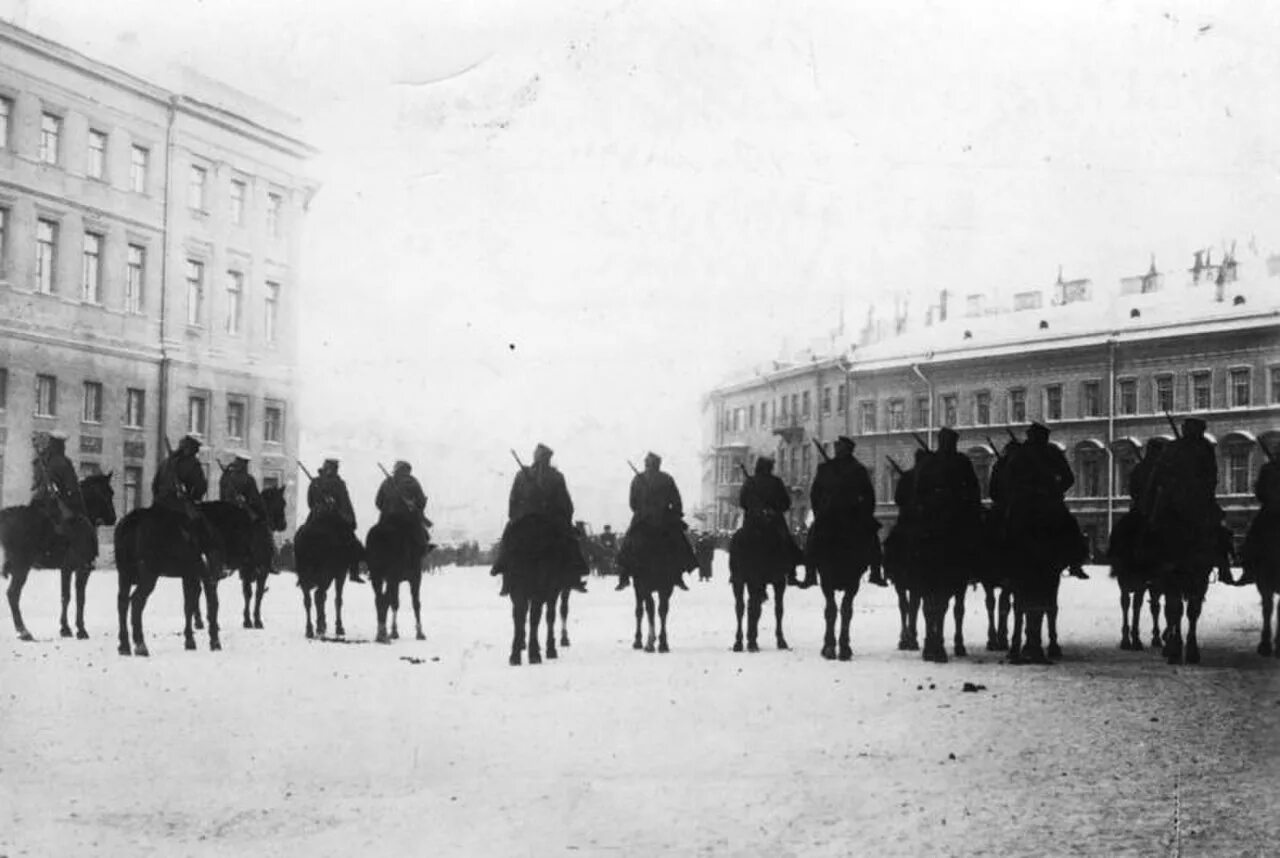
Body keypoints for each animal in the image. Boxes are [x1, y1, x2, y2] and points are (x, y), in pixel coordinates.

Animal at [0, 473, 117, 642]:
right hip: (21, 567)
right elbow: (79, 598)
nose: (113, 518)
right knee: (13, 594)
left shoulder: (66, 569)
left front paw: (65, 628)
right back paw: (23, 631)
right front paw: (80, 630)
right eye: (109, 493)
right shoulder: (82, 569)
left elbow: (65, 596)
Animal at [115, 504, 225, 660]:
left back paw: (124, 646)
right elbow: (211, 605)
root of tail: (132, 521)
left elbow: (189, 606)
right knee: (136, 601)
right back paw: (141, 645)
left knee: (122, 603)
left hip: (124, 574)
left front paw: (190, 640)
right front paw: (214, 641)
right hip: (148, 575)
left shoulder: (189, 575)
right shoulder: (205, 576)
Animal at [294, 514, 366, 642]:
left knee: (308, 599)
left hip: (304, 573)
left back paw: (310, 629)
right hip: (325, 573)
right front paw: (339, 627)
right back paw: (320, 627)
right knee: (318, 595)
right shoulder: (340, 573)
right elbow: (338, 600)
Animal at [366, 517, 430, 645]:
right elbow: (416, 603)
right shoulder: (415, 576)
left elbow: (395, 603)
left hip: (377, 575)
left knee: (378, 599)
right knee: (384, 600)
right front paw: (420, 633)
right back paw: (383, 635)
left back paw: (380, 633)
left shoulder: (396, 581)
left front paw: (394, 631)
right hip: (391, 576)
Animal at [727, 517, 793, 653]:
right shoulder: (776, 581)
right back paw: (746, 642)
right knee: (748, 607)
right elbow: (776, 609)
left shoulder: (766, 582)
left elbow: (771, 609)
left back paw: (741, 642)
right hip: (747, 581)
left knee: (743, 607)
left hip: (741, 580)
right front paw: (780, 640)